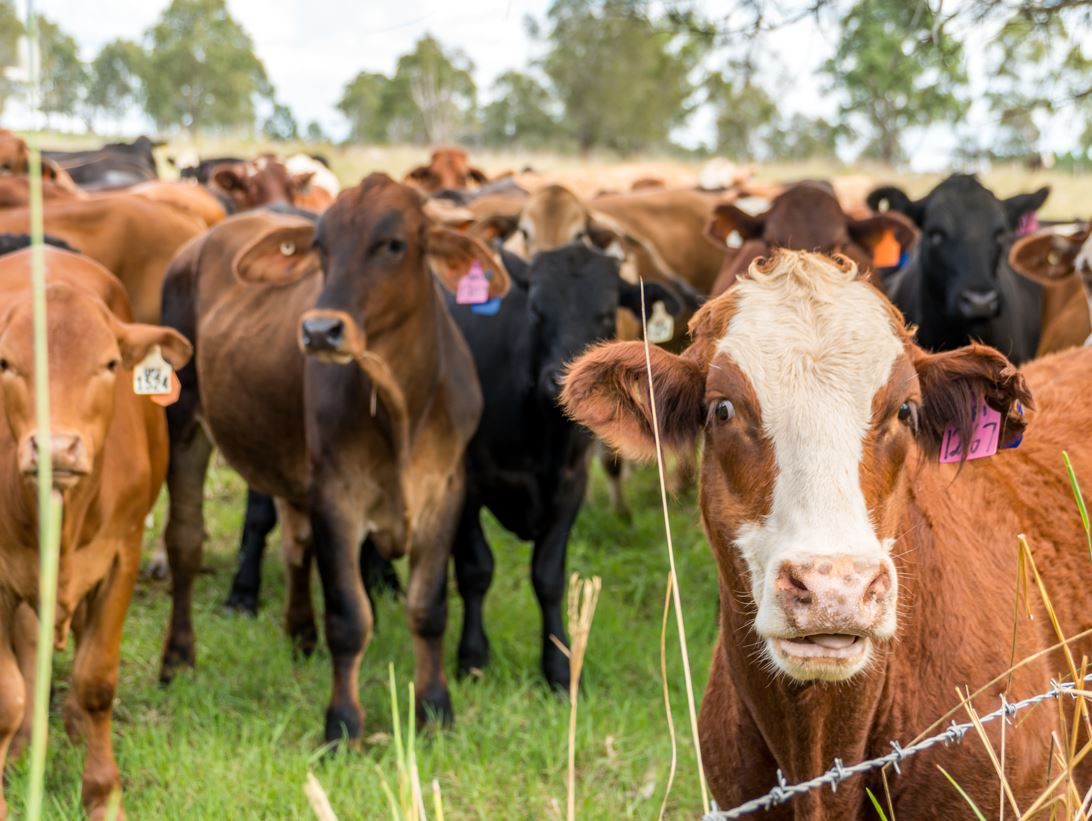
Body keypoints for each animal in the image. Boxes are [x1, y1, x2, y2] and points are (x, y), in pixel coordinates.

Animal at [0, 246, 190, 820]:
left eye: (108, 364)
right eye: (6, 364)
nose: (57, 448)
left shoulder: (121, 555)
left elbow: (96, 680)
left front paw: (104, 794)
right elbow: (8, 695)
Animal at [157, 173, 510, 740]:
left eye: (393, 244)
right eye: (321, 247)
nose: (320, 331)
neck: (401, 405)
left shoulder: (446, 492)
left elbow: (428, 608)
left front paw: (435, 707)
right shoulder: (337, 496)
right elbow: (349, 617)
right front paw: (343, 722)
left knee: (295, 543)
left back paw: (300, 633)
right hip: (183, 419)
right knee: (185, 542)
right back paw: (177, 659)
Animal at [447, 244, 683, 690]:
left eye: (606, 314)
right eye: (536, 310)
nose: (558, 380)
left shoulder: (572, 484)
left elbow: (549, 577)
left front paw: (559, 666)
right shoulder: (464, 480)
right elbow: (475, 569)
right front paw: (472, 657)